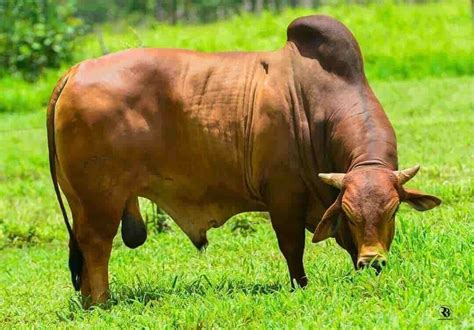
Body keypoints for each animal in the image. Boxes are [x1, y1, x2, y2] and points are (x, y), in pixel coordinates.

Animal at [47, 15, 440, 304]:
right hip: (101, 200)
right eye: (352, 214)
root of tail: (75, 71)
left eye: (392, 211)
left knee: (84, 247)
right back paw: (102, 302)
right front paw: (301, 287)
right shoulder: (284, 197)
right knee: (97, 246)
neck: (316, 105)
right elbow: (292, 248)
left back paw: (89, 302)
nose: (373, 262)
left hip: (82, 201)